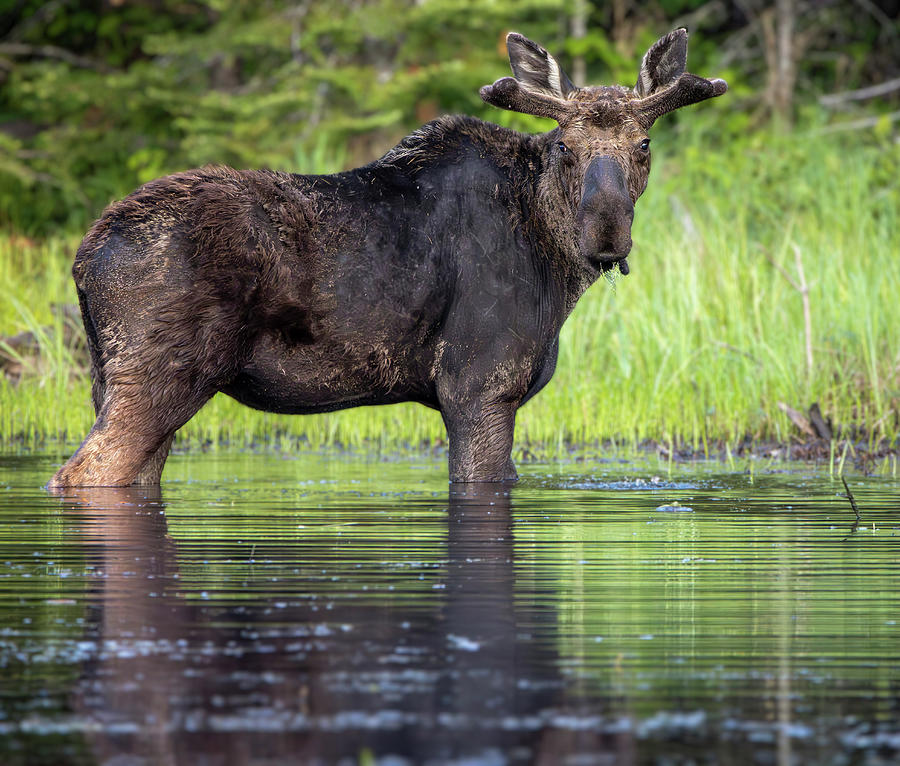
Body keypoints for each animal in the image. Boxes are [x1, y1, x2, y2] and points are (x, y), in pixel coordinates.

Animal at [49, 28, 726, 488]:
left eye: (644, 144)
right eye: (565, 146)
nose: (606, 229)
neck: (553, 265)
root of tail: (85, 259)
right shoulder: (480, 382)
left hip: (107, 378)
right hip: (163, 373)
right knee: (82, 473)